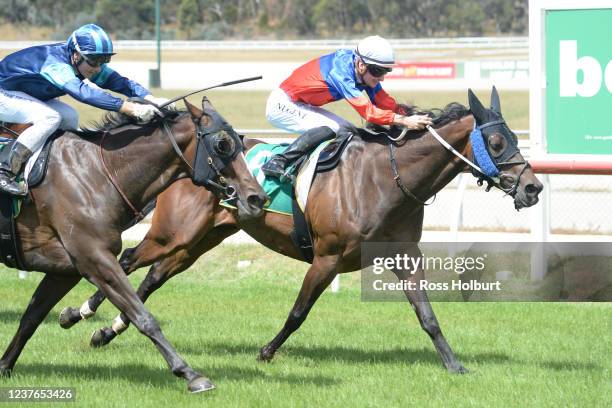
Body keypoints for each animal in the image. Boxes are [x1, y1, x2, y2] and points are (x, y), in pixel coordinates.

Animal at [0, 97, 268, 394]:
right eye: (222, 144)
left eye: (240, 144)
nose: (257, 198)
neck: (95, 175)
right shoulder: (94, 258)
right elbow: (144, 316)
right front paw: (190, 374)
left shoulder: (65, 270)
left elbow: (31, 317)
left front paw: (5, 366)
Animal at [61, 88, 540, 372]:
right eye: (497, 142)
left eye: (516, 138)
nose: (533, 187)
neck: (386, 177)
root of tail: (187, 159)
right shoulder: (327, 258)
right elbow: (298, 312)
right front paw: (266, 351)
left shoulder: (404, 255)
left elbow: (427, 315)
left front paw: (454, 365)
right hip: (174, 233)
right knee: (127, 260)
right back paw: (76, 314)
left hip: (198, 240)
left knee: (153, 277)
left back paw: (106, 330)